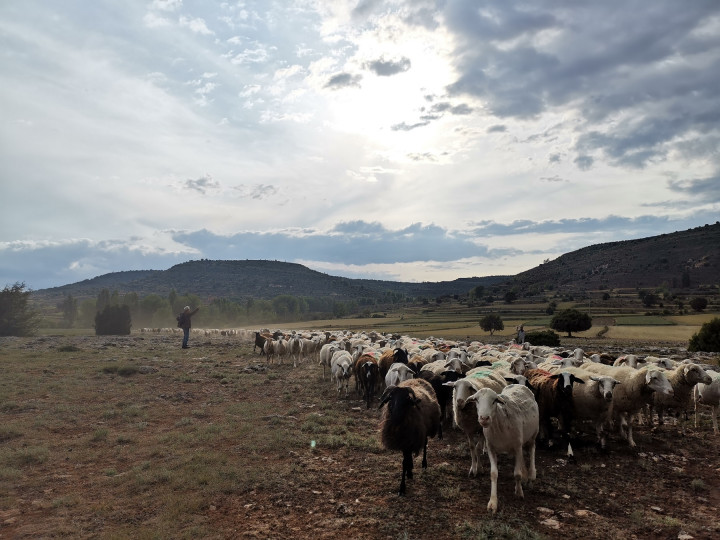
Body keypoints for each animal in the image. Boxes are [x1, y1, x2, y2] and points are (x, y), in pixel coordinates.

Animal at [464, 384, 536, 516]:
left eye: (494, 400)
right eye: (476, 400)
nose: (484, 418)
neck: (499, 424)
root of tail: (518, 385)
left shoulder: (517, 447)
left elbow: (517, 474)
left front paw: (519, 492)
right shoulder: (491, 448)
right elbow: (493, 474)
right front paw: (493, 503)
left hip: (534, 434)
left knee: (532, 449)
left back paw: (532, 474)